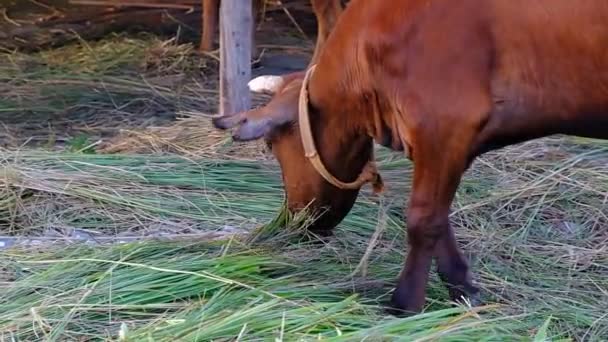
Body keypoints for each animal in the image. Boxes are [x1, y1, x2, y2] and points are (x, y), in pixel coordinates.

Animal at [213, 0, 608, 316]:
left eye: (271, 146)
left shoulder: (445, 122)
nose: (292, 220)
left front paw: (403, 306)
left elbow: (423, 219)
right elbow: (438, 215)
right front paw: (462, 287)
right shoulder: (441, 141)